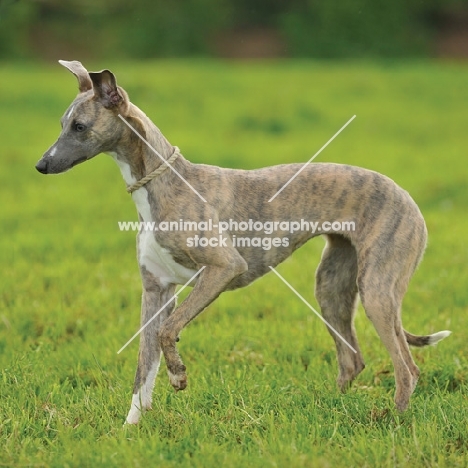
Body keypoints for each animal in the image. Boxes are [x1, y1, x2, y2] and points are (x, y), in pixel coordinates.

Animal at [34, 61, 452, 424]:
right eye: (63, 124)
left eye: (80, 126)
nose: (41, 166)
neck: (163, 184)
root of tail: (406, 196)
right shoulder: (155, 291)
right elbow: (143, 366)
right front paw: (130, 429)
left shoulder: (223, 267)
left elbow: (169, 331)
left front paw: (178, 375)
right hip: (332, 287)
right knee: (353, 360)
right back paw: (334, 408)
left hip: (378, 290)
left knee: (407, 368)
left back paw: (392, 421)